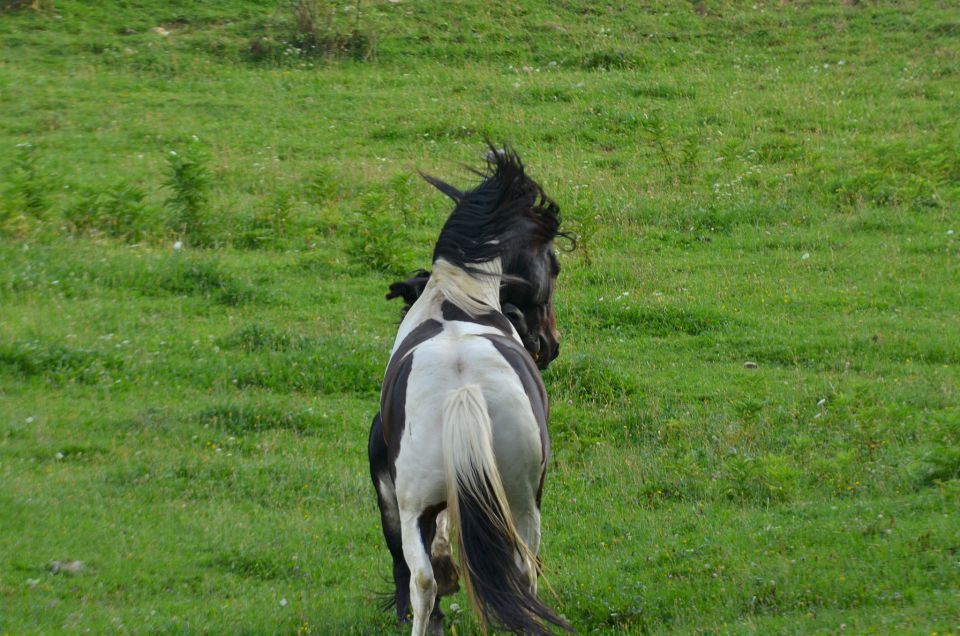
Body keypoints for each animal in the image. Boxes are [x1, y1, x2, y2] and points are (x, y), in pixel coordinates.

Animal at [370, 150, 572, 636]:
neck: (455, 303)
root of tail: (464, 390)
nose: (549, 345)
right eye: (554, 266)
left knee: (425, 579)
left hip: (423, 506)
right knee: (518, 568)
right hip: (519, 499)